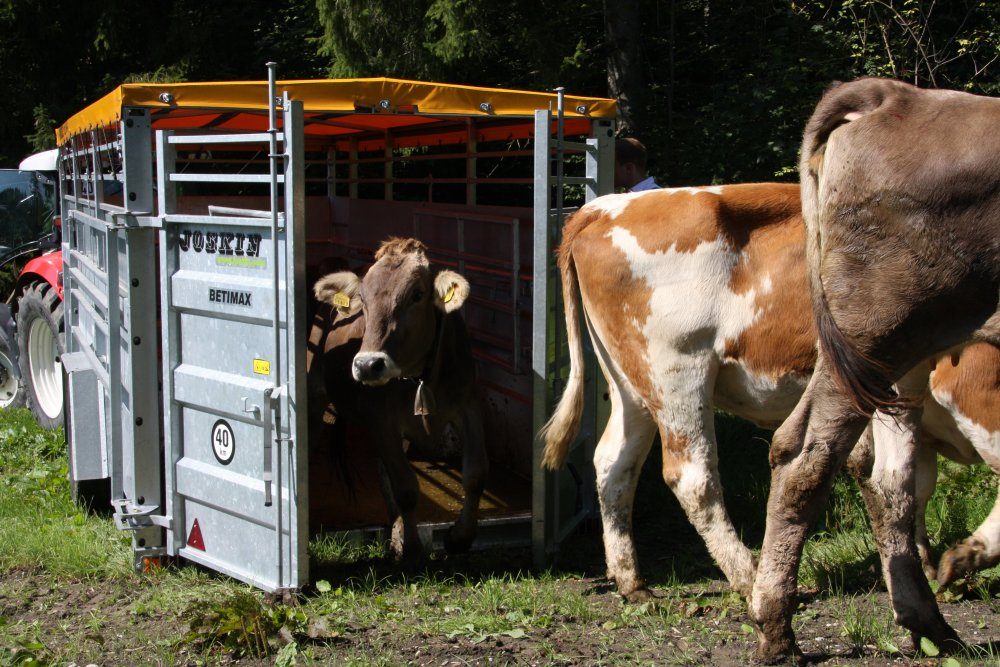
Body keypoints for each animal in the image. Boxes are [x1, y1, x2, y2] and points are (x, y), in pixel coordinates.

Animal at [306, 237, 487, 565]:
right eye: (362, 299)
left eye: (417, 295)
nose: (367, 365)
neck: (420, 377)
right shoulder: (382, 421)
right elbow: (405, 487)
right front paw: (413, 549)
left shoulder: (468, 404)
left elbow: (476, 473)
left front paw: (459, 537)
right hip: (315, 395)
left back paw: (395, 531)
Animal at [539, 183, 999, 610]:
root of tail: (605, 207)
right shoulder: (964, 387)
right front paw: (961, 558)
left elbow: (909, 483)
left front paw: (918, 566)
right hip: (678, 369)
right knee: (692, 476)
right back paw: (750, 576)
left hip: (632, 384)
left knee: (614, 464)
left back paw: (633, 583)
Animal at [749, 78, 1000, 663]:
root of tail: (900, 95)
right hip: (880, 333)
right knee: (806, 457)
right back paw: (778, 630)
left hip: (893, 361)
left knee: (889, 480)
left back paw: (930, 622)